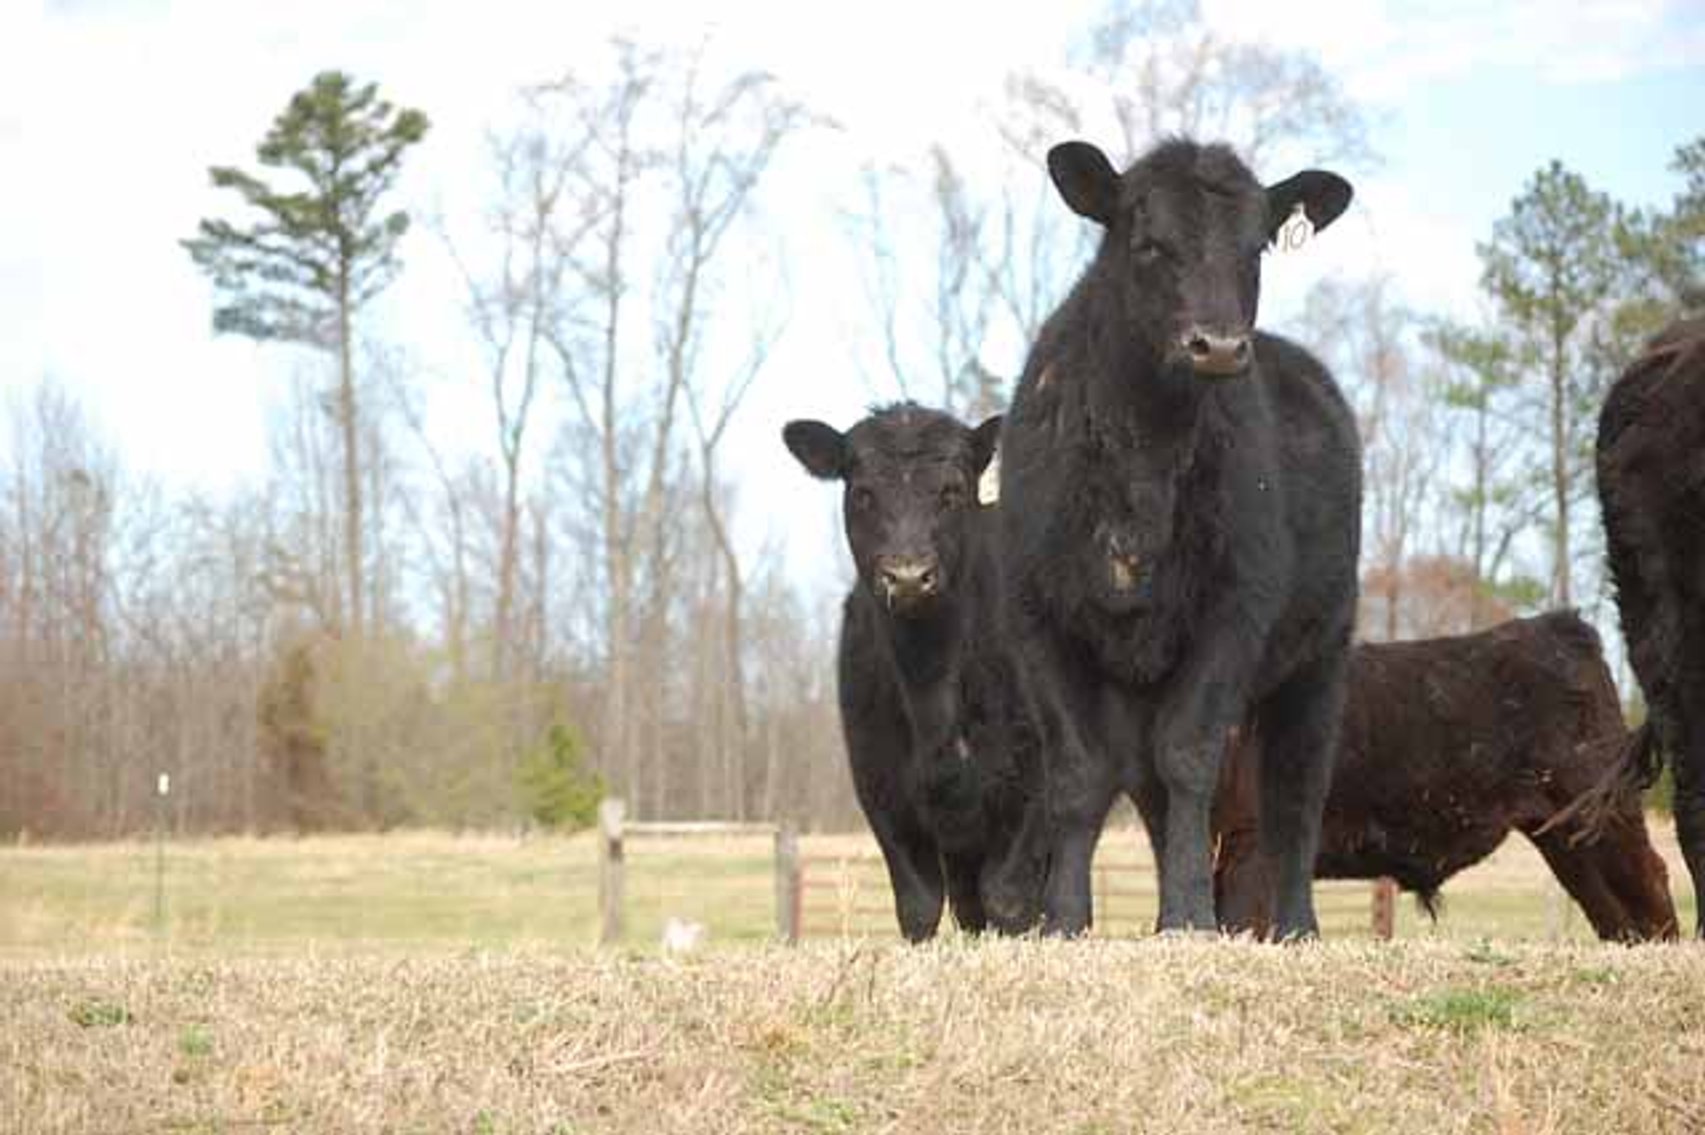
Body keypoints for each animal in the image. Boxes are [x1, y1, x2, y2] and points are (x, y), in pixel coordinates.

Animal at [783, 404, 1042, 940]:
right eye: (863, 492)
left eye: (952, 491)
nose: (907, 577)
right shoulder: (881, 788)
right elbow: (920, 907)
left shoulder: (1036, 781)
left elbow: (1009, 899)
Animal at [993, 136, 1361, 939]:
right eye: (1149, 243)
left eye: (1256, 247)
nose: (1217, 345)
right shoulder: (1037, 617)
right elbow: (1078, 771)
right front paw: (1064, 918)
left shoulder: (1234, 609)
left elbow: (1190, 754)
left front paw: (1189, 916)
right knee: (1149, 787)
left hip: (1322, 654)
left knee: (1296, 791)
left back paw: (1293, 924)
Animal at [1212, 611, 1678, 942]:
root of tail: (1560, 624)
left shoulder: (1248, 840)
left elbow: (1239, 922)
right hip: (1564, 836)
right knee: (1607, 902)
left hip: (1602, 810)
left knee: (1650, 877)